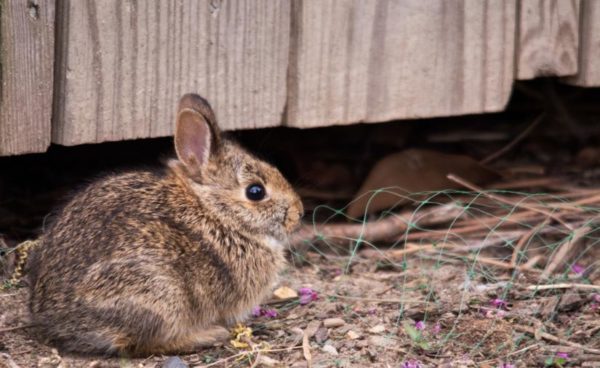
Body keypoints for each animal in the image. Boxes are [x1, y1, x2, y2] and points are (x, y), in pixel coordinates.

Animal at [25, 93, 302, 356]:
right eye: (255, 191)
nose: (298, 213)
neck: (215, 211)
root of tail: (57, 320)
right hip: (159, 295)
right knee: (139, 344)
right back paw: (208, 335)